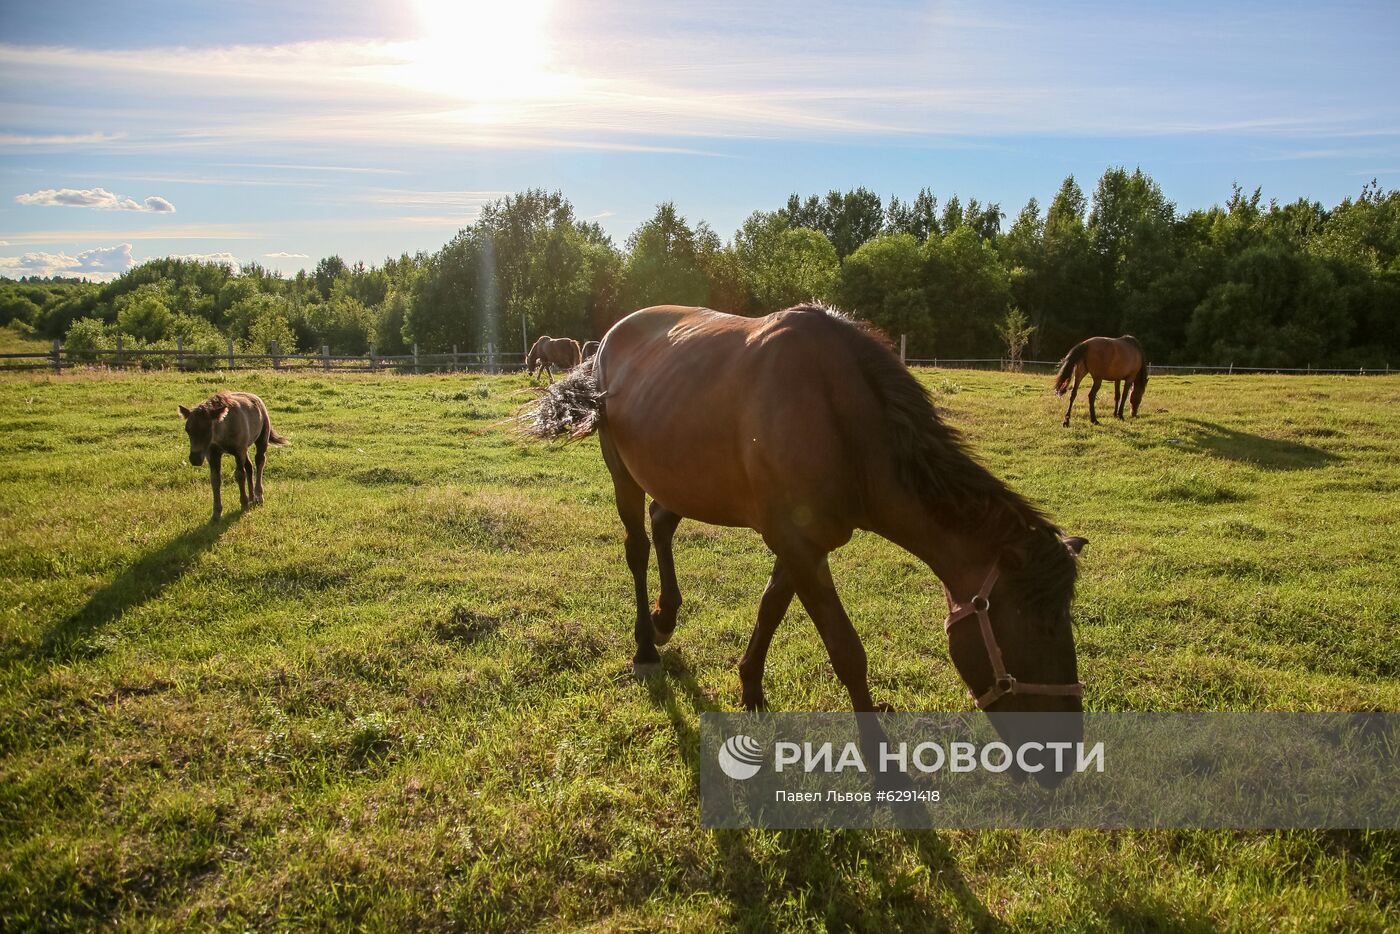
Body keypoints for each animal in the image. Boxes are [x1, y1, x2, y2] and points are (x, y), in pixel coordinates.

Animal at [177, 392, 287, 523]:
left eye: (207, 429)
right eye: (187, 430)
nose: (195, 459)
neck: (224, 429)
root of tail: (256, 398)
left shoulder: (238, 451)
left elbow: (240, 475)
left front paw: (243, 503)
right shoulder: (212, 453)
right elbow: (215, 479)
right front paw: (216, 512)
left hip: (261, 439)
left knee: (260, 461)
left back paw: (258, 496)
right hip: (245, 449)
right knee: (249, 466)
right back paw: (251, 497)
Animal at [529, 303, 1086, 772]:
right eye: (1043, 627)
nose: (1066, 753)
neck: (839, 420)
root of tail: (609, 338)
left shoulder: (799, 544)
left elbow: (770, 608)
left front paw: (751, 690)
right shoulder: (798, 545)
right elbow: (846, 651)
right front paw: (879, 762)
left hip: (682, 476)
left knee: (663, 521)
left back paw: (667, 616)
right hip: (622, 470)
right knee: (638, 547)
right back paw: (647, 643)